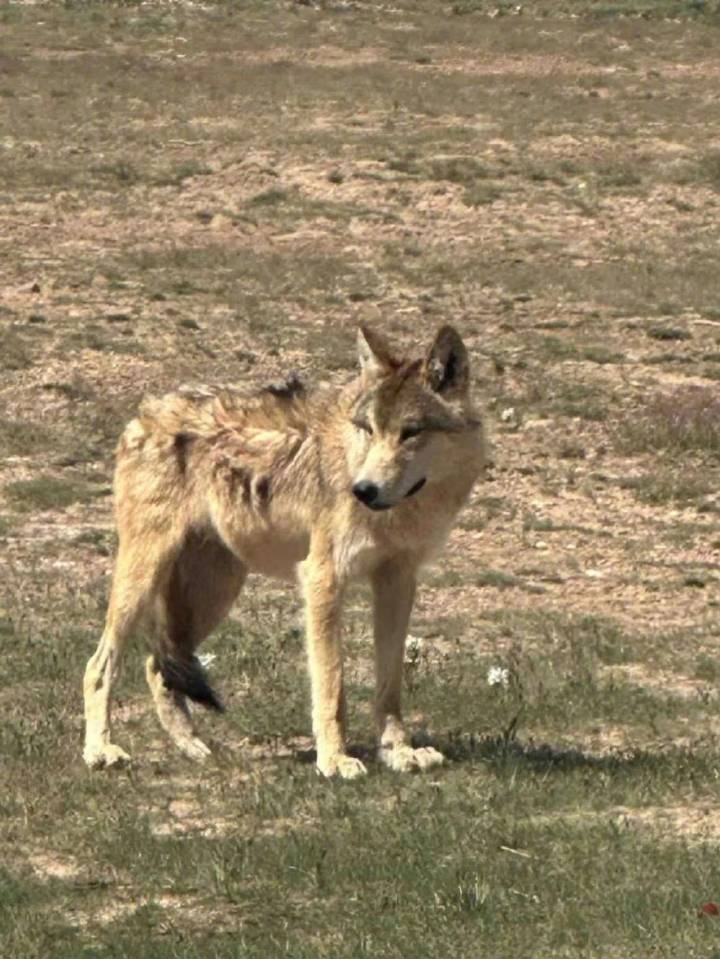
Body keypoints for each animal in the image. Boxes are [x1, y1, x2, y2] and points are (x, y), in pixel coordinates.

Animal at [86, 326, 490, 776]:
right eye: (368, 428)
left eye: (411, 431)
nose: (363, 490)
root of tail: (144, 411)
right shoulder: (322, 579)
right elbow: (332, 685)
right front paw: (335, 760)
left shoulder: (398, 581)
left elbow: (389, 685)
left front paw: (398, 752)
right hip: (145, 579)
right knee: (100, 664)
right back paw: (100, 750)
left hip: (214, 594)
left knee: (157, 665)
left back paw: (193, 748)